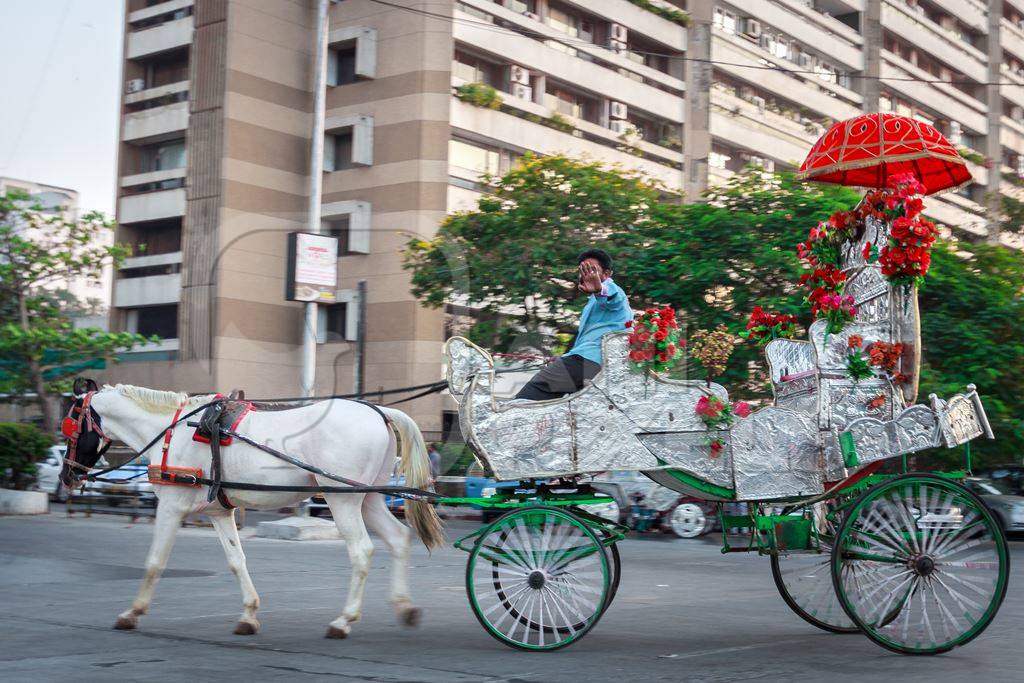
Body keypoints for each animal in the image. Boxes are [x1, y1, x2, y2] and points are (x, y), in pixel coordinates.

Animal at [59, 385, 444, 643]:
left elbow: (154, 562)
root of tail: (379, 411)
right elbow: (236, 561)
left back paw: (344, 620)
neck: (171, 433)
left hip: (343, 500)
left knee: (362, 551)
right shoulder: (218, 512)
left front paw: (132, 612)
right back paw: (404, 606)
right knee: (398, 538)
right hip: (369, 497)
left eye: (70, 424)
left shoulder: (170, 507)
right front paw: (249, 615)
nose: (68, 475)